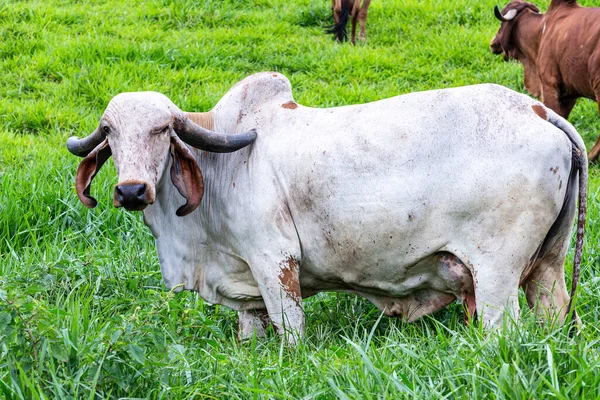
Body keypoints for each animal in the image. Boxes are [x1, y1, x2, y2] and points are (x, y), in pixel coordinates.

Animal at [67, 72, 584, 344]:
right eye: (110, 132)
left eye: (161, 131)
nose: (132, 192)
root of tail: (537, 110)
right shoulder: (244, 284)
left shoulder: (275, 260)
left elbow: (291, 331)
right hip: (548, 267)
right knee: (554, 310)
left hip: (495, 275)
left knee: (504, 329)